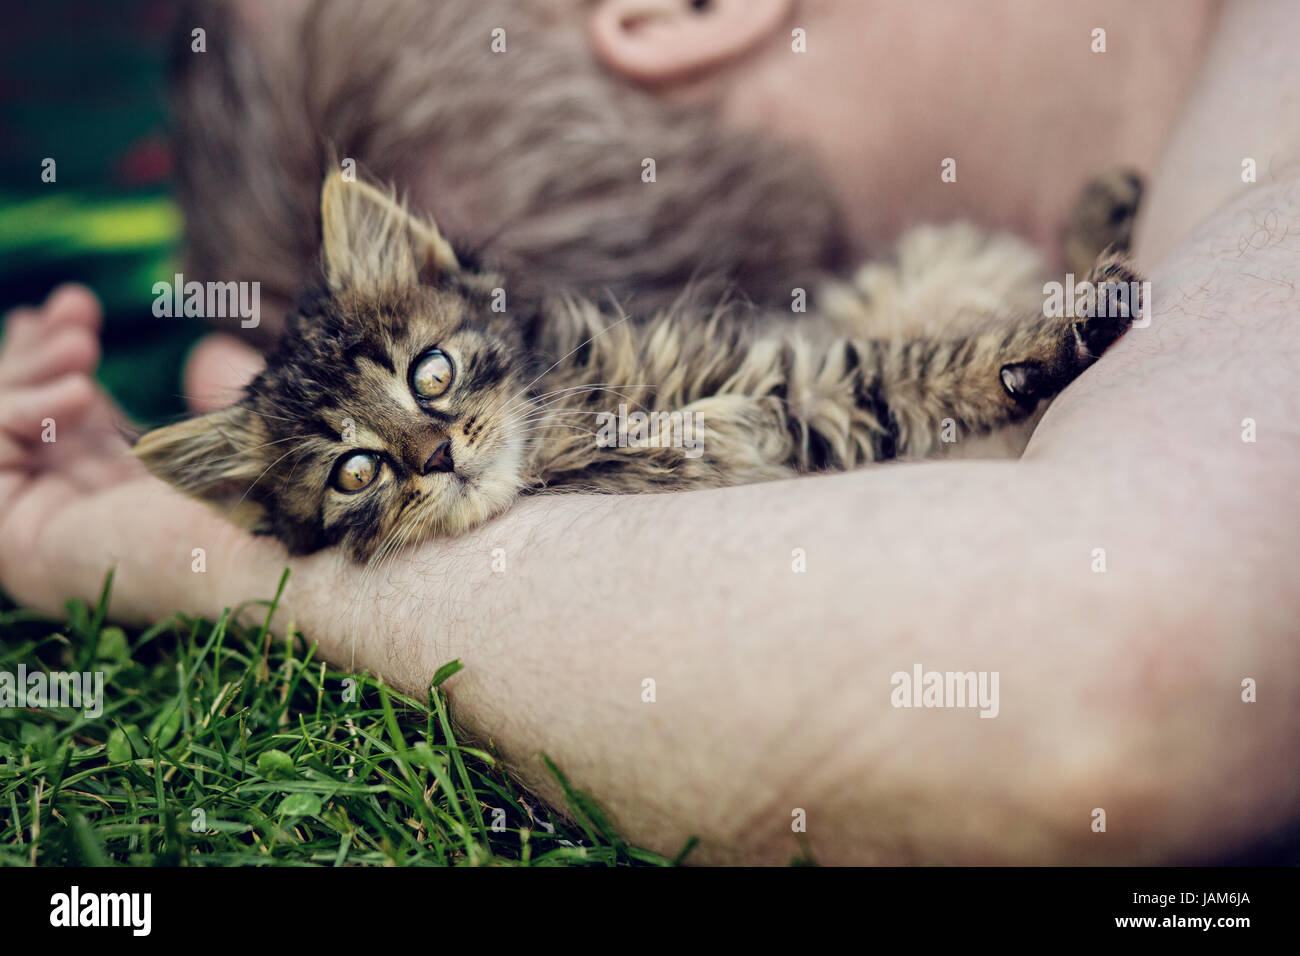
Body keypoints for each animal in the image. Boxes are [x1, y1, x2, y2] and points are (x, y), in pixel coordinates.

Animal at [137, 171, 1144, 561]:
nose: (437, 457)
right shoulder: (807, 403)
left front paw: (1054, 335)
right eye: (355, 471)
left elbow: (930, 360)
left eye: (430, 374)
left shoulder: (787, 369)